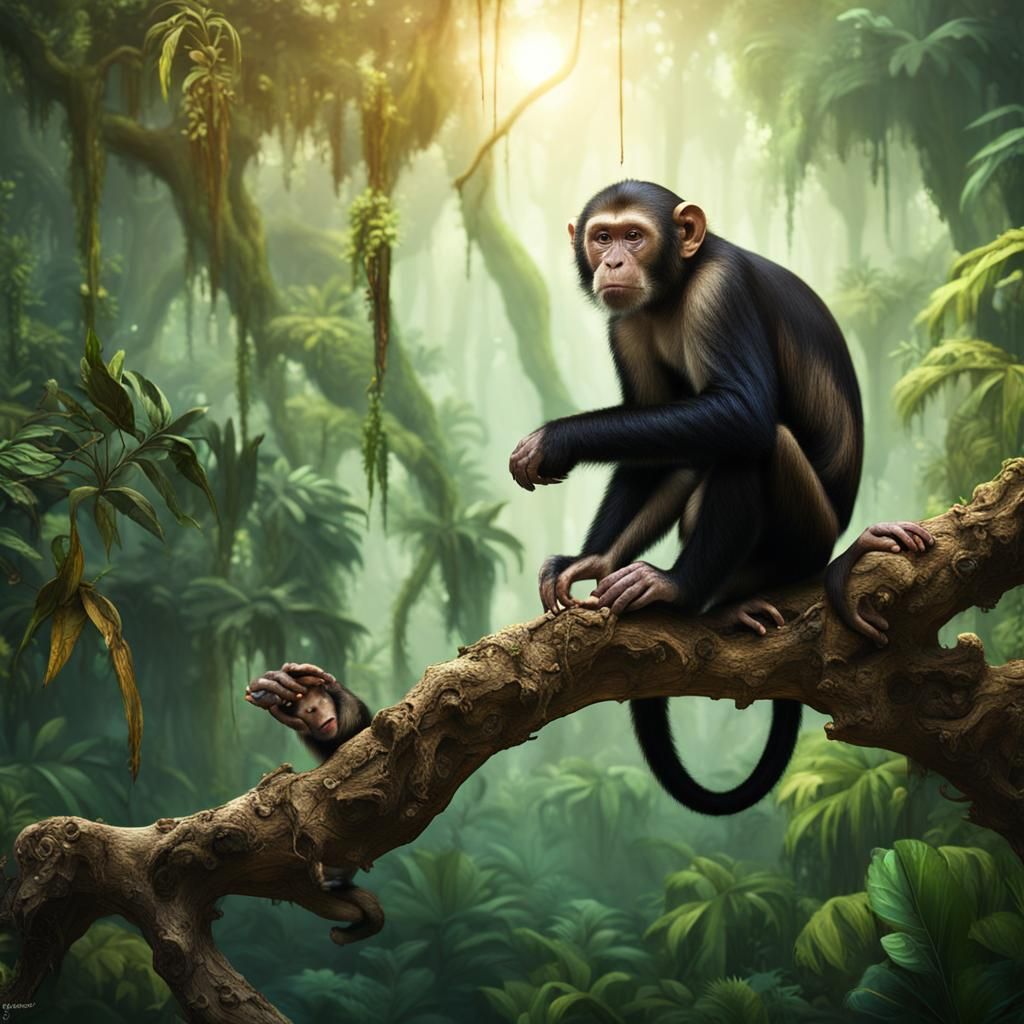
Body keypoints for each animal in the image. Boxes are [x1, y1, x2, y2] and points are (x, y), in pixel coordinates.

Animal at [509, 179, 934, 816]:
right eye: (602, 236)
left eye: (634, 235)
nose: (614, 261)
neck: (674, 288)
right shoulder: (626, 327)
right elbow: (660, 444)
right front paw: (589, 561)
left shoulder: (721, 292)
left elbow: (741, 410)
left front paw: (558, 438)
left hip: (805, 537)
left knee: (752, 440)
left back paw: (680, 590)